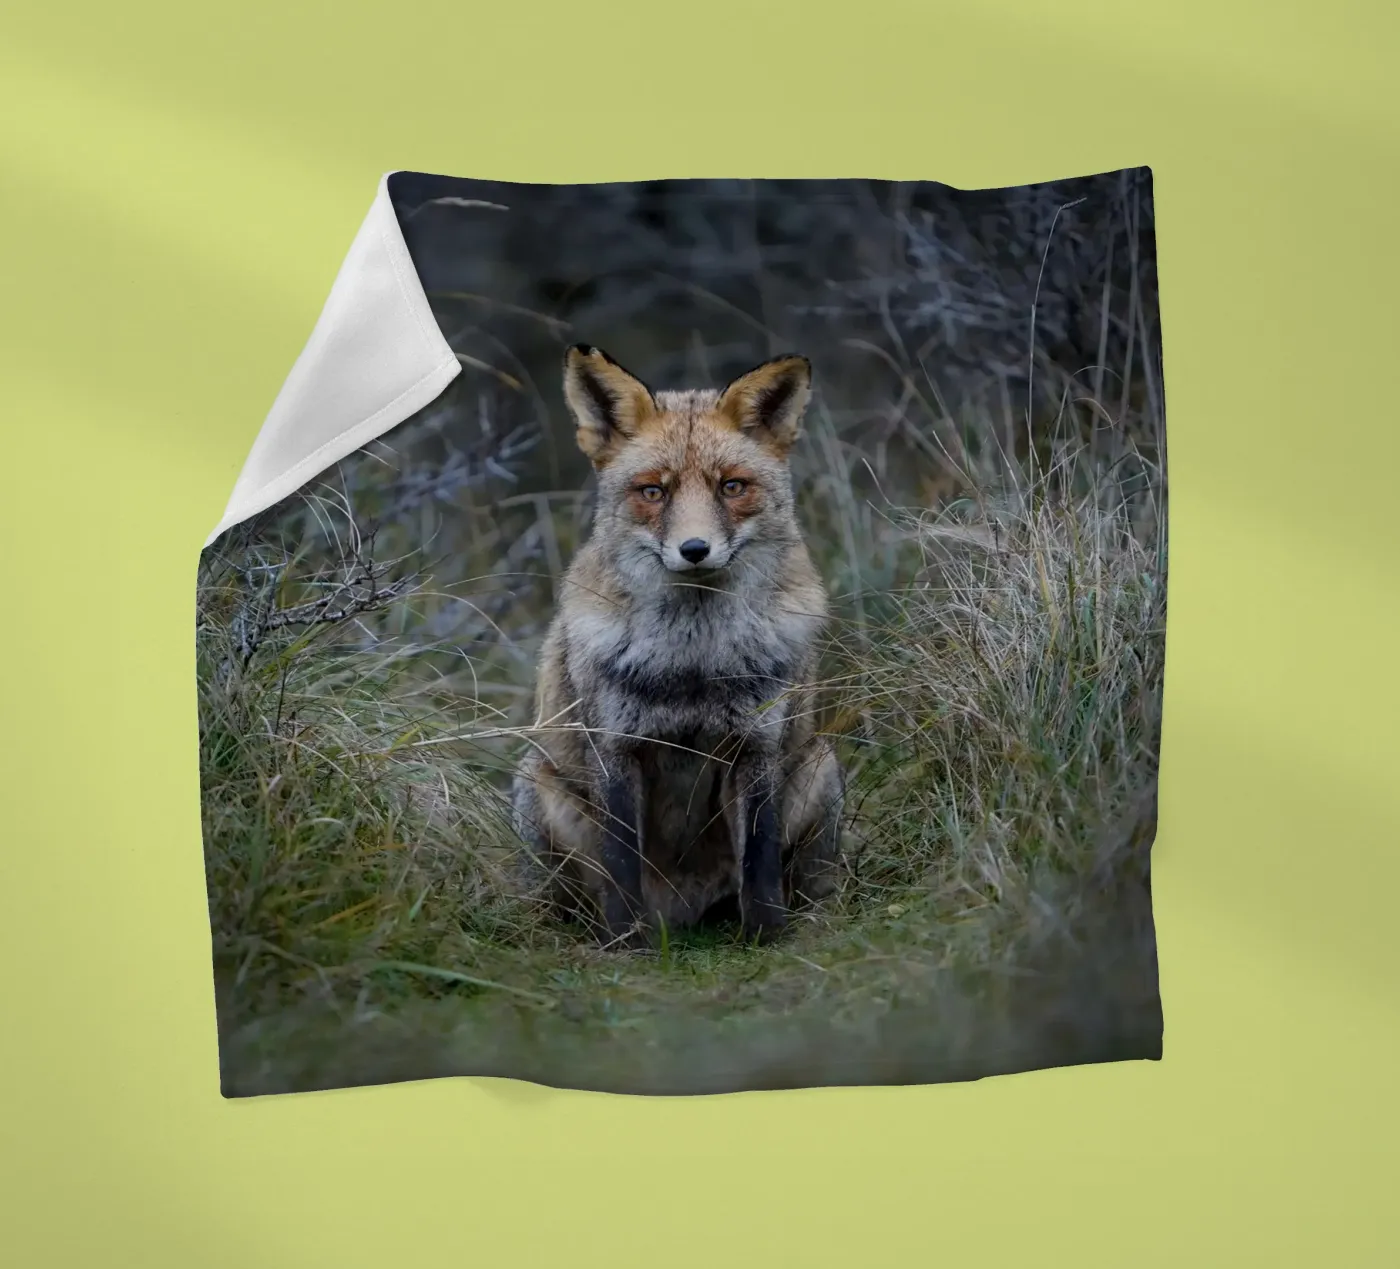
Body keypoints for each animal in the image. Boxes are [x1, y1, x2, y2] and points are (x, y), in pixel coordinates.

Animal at [510, 344, 845, 948]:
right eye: (654, 491)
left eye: (732, 487)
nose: (694, 549)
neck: (692, 662)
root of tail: (685, 914)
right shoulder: (615, 748)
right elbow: (622, 866)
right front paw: (628, 947)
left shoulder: (756, 745)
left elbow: (759, 863)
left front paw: (766, 937)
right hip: (534, 786)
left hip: (820, 765)